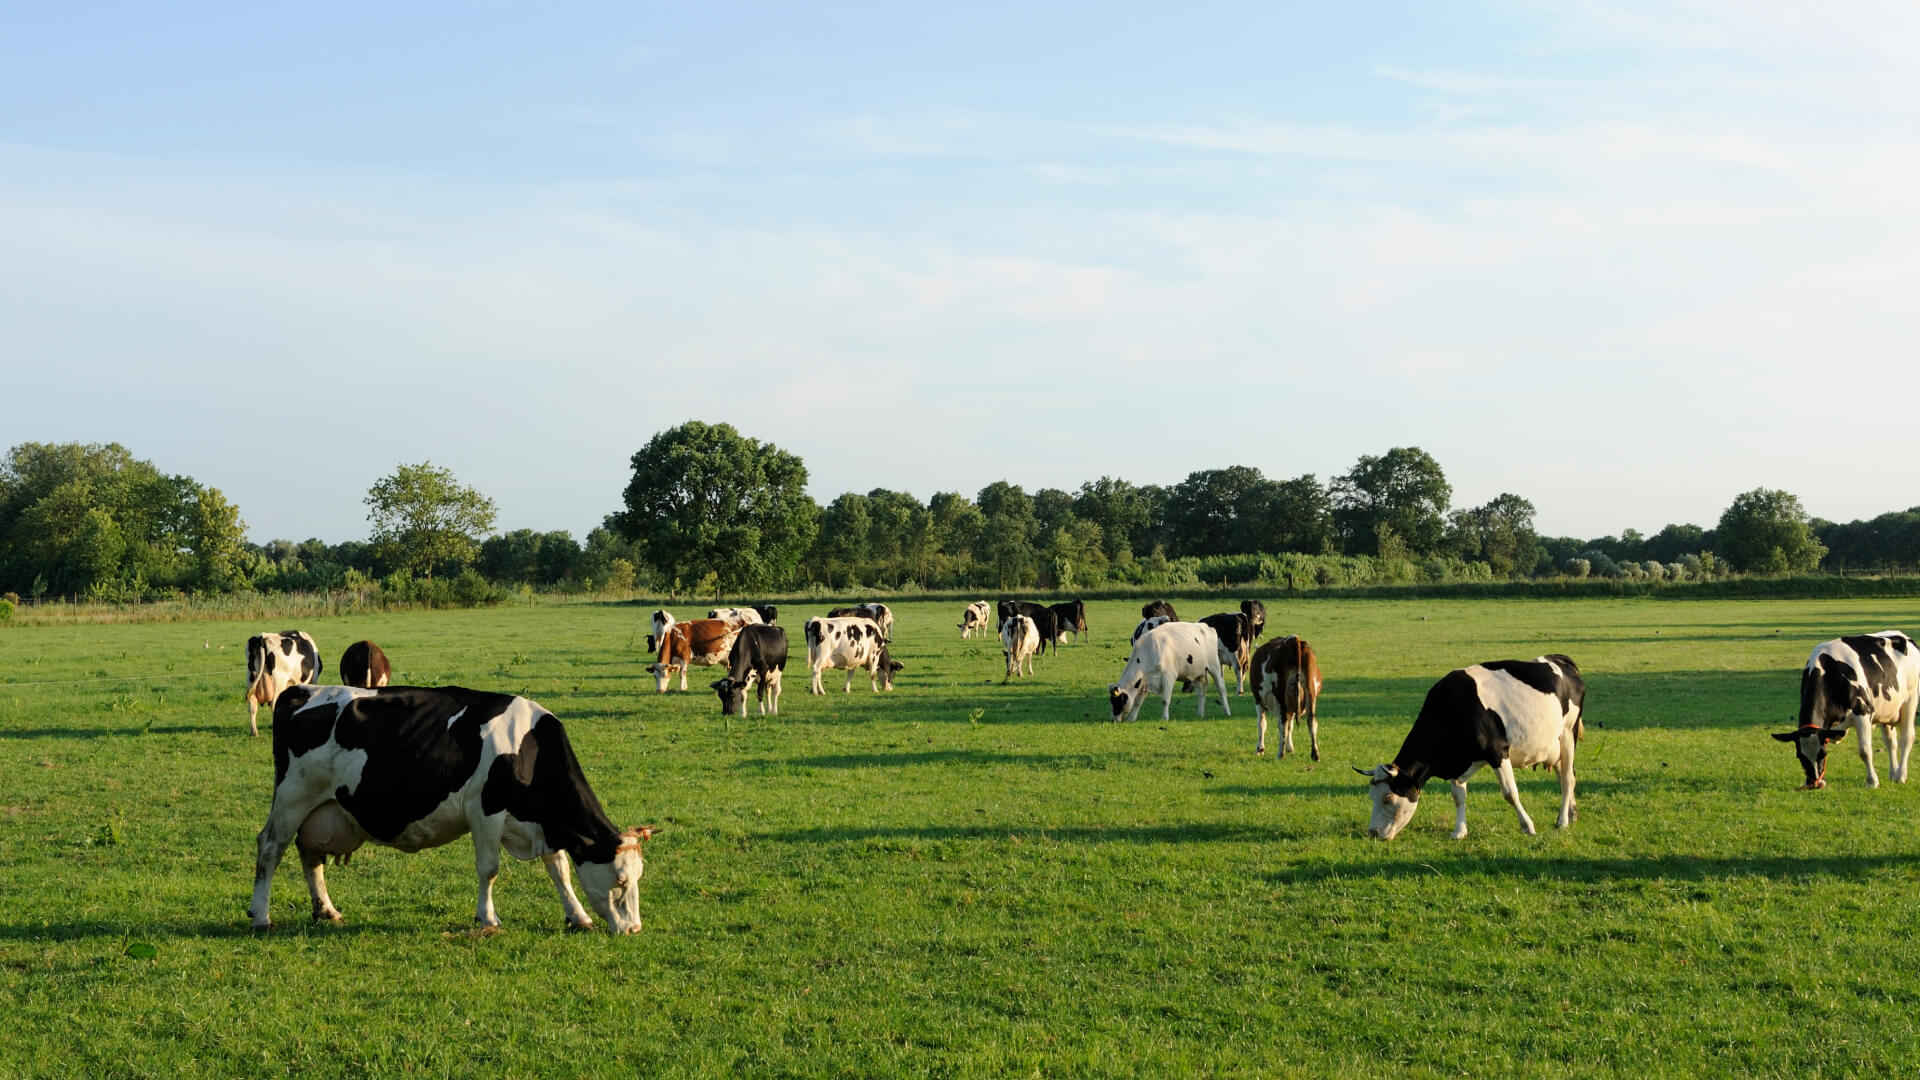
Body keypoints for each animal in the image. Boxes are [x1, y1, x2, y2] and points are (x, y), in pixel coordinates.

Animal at [248, 684, 657, 933]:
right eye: (621, 880)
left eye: (639, 877)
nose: (634, 929)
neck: (528, 748)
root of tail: (301, 691)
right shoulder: (486, 811)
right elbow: (489, 869)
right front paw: (488, 918)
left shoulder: (541, 824)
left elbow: (559, 870)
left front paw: (578, 915)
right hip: (292, 797)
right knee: (270, 848)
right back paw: (260, 916)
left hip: (320, 809)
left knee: (309, 854)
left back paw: (326, 910)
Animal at [1357, 654, 1585, 841]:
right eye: (1371, 796)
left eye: (1388, 798)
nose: (1372, 833)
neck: (1451, 709)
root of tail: (1557, 659)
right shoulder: (1455, 762)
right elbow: (1458, 796)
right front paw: (1459, 832)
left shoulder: (1498, 752)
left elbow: (1510, 793)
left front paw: (1527, 826)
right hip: (1554, 747)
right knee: (1564, 776)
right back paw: (1572, 813)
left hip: (1568, 733)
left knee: (1568, 778)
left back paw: (1562, 821)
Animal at [1771, 632, 1920, 789]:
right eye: (1800, 756)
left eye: (1822, 754)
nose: (1815, 783)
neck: (1830, 672)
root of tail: (1903, 636)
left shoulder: (1863, 712)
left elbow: (1865, 751)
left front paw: (1872, 782)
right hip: (1886, 710)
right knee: (1891, 742)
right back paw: (1893, 773)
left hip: (1910, 700)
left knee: (1906, 738)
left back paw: (1900, 775)